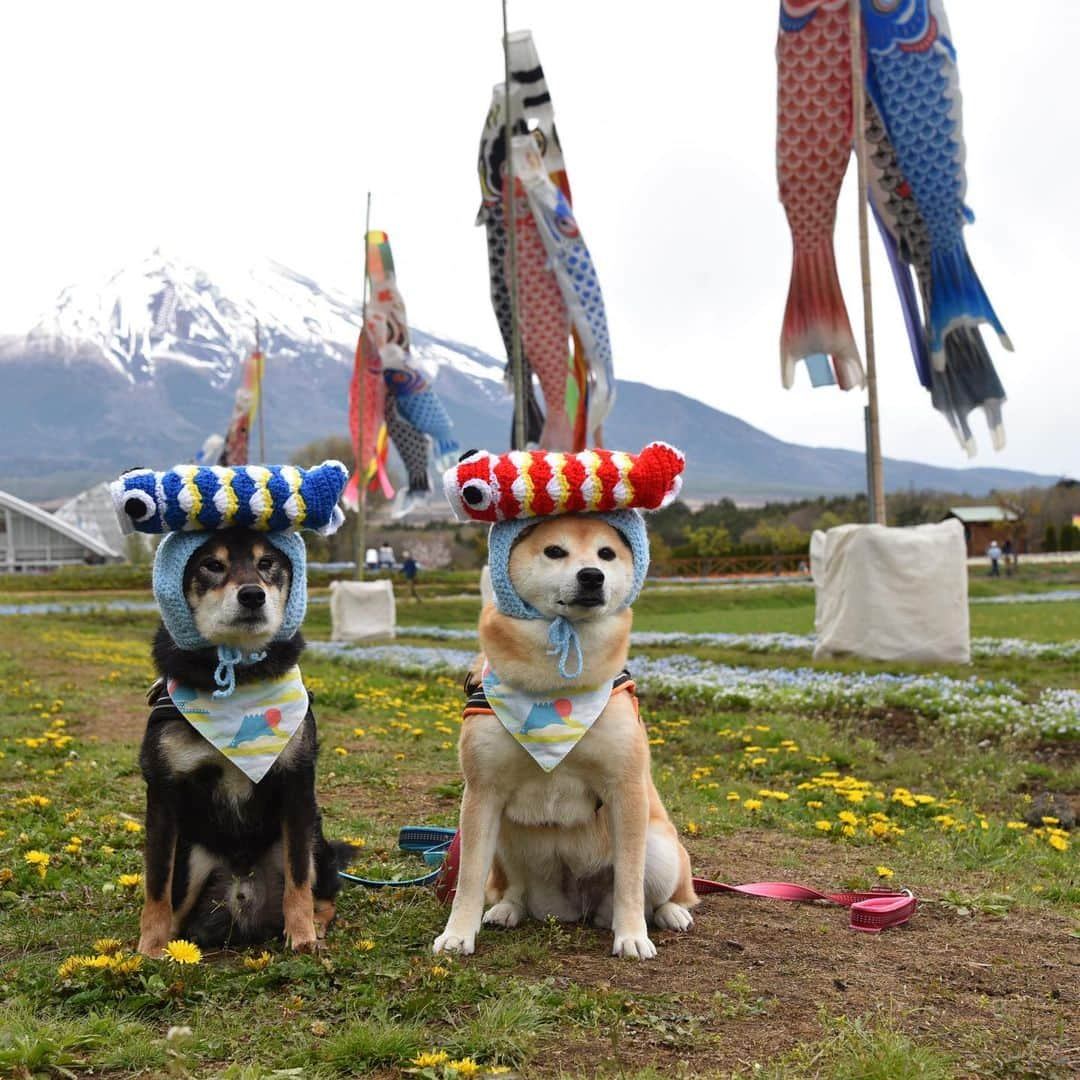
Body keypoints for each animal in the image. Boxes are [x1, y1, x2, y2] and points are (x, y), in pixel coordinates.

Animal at [136, 527, 349, 959]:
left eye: (267, 562)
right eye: (211, 565)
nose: (252, 594)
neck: (238, 674)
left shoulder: (296, 785)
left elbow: (298, 879)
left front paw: (302, 935)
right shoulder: (163, 792)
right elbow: (156, 884)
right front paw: (148, 948)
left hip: (316, 841)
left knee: (323, 891)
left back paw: (316, 924)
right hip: (192, 858)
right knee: (177, 903)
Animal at [434, 516, 695, 963]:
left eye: (606, 553)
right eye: (554, 551)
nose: (592, 575)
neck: (554, 684)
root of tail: (578, 904)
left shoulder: (625, 788)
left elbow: (629, 879)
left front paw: (631, 935)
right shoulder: (483, 792)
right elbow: (469, 878)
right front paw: (458, 934)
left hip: (660, 848)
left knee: (662, 892)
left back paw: (668, 913)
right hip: (505, 843)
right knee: (512, 889)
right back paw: (506, 909)